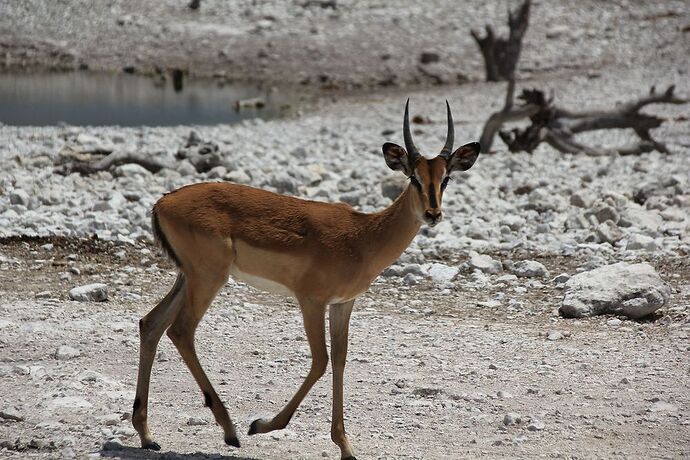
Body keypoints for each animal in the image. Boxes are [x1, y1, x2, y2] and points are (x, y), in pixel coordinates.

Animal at [133, 101, 478, 460]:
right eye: (413, 177)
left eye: (446, 178)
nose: (433, 214)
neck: (363, 236)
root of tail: (163, 202)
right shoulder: (311, 301)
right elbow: (320, 361)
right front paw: (260, 424)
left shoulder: (343, 304)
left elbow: (339, 359)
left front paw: (346, 447)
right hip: (208, 278)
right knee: (181, 331)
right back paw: (230, 432)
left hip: (188, 278)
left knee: (151, 324)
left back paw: (148, 436)